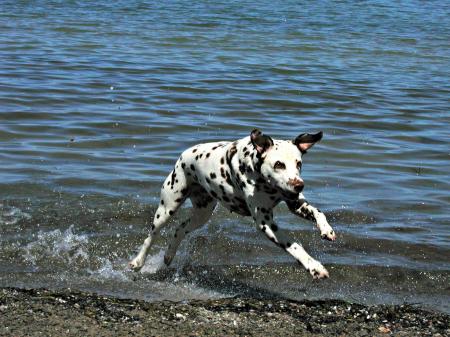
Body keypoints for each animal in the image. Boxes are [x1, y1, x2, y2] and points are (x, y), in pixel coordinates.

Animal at [128, 129, 336, 278]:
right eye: (279, 164)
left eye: (298, 163)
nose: (299, 185)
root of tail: (184, 155)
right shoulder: (265, 223)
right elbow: (294, 246)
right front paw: (314, 266)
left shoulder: (295, 203)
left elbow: (319, 212)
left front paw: (327, 230)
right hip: (167, 208)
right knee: (151, 236)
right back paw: (138, 262)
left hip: (202, 214)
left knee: (180, 228)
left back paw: (169, 255)